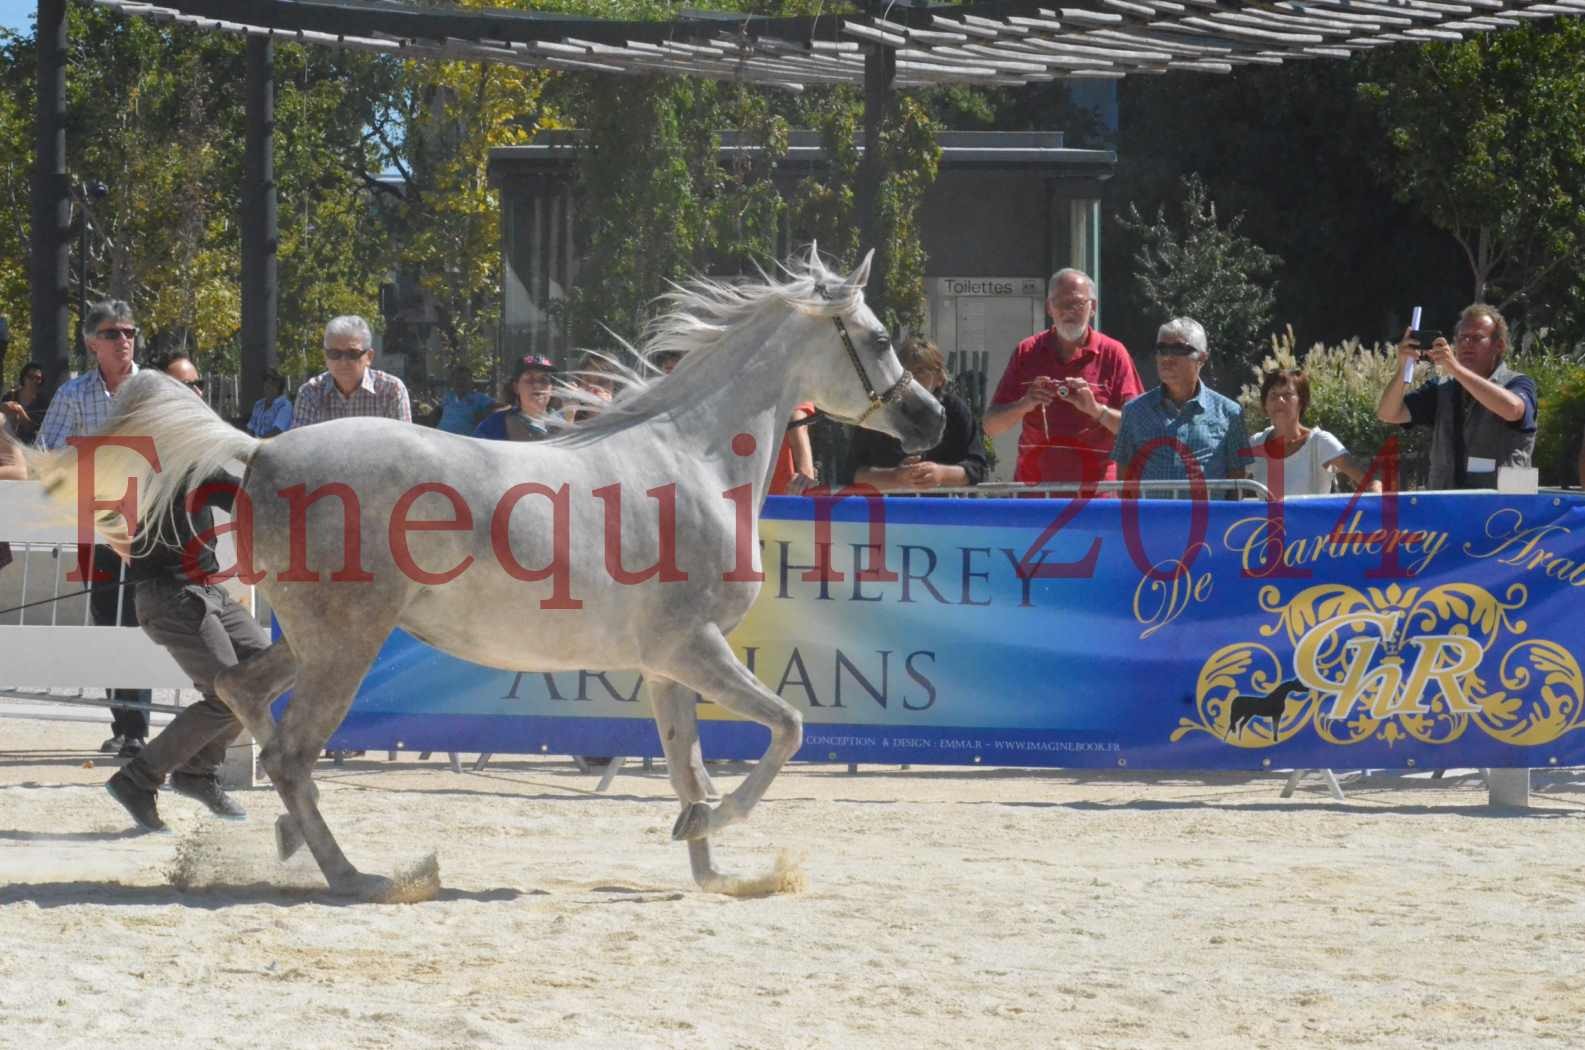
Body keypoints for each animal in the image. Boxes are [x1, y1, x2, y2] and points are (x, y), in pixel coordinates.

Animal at [34, 250, 938, 900]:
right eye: (878, 339)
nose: (928, 418)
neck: (693, 459)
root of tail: (257, 450)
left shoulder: (666, 666)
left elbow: (689, 765)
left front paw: (711, 863)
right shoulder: (695, 649)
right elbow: (788, 728)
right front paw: (718, 826)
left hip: (321, 640)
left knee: (242, 696)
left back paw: (292, 839)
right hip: (349, 645)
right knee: (290, 751)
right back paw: (361, 878)